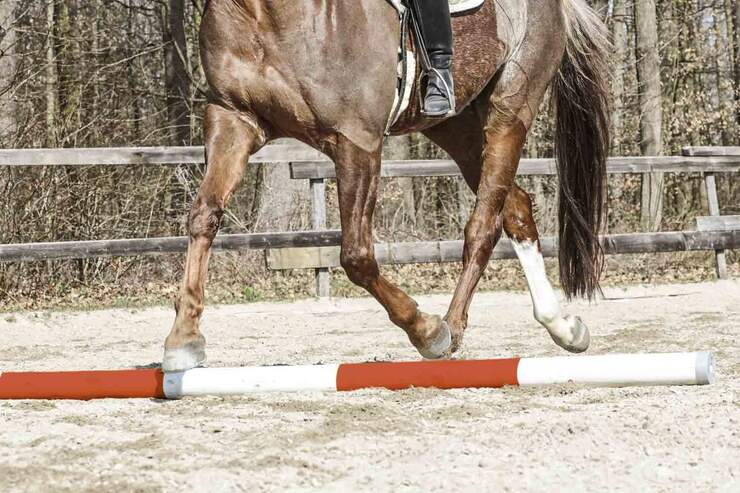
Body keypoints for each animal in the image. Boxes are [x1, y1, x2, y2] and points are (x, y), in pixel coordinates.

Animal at [162, 0, 611, 371]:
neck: (264, 13)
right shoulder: (233, 118)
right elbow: (204, 216)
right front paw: (183, 339)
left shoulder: (356, 141)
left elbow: (356, 256)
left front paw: (428, 332)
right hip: (456, 125)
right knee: (515, 207)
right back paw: (562, 326)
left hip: (510, 109)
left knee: (483, 225)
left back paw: (452, 328)